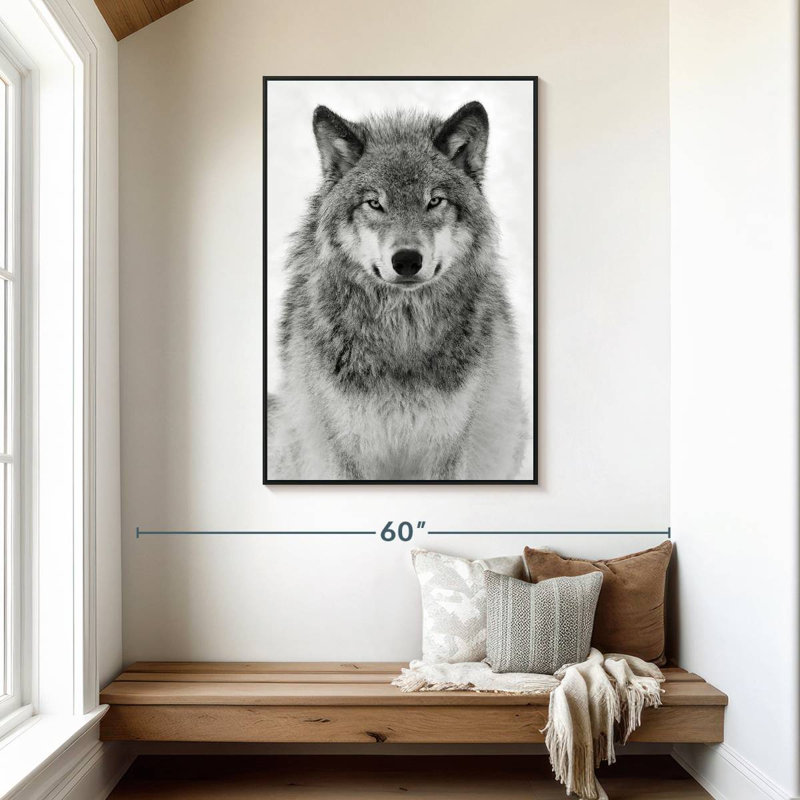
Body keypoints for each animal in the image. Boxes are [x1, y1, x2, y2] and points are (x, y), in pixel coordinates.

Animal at [267, 99, 529, 480]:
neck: (402, 336)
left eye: (434, 201)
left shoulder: (447, 448)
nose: (406, 260)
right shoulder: (346, 449)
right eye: (375, 203)